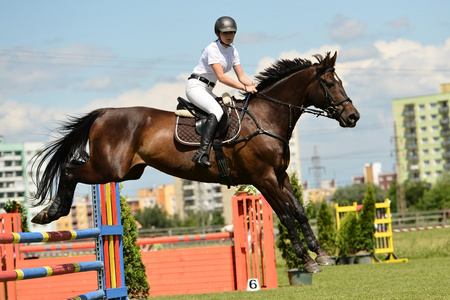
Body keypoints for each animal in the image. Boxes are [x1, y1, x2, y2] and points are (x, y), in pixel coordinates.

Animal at [30, 52, 358, 274]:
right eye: (330, 83)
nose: (353, 116)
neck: (266, 118)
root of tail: (104, 112)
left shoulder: (280, 176)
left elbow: (300, 212)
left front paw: (322, 254)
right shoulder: (263, 178)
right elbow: (286, 217)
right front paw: (307, 261)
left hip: (126, 172)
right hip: (108, 168)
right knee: (69, 169)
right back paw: (50, 212)